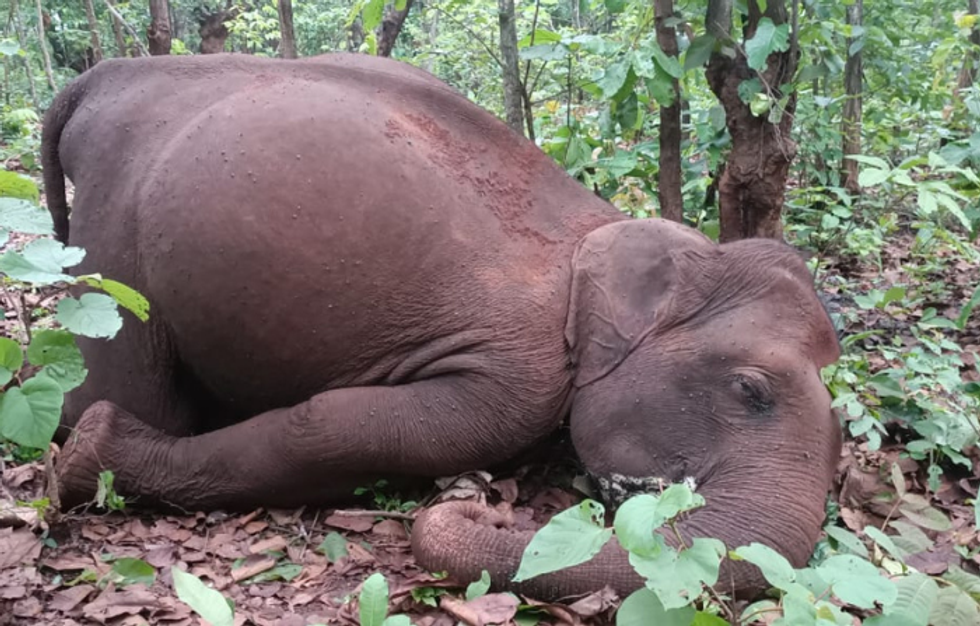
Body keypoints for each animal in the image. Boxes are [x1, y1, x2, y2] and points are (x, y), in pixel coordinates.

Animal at [42, 52, 842, 601]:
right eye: (750, 390)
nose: (488, 508)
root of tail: (100, 79)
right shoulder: (521, 368)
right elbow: (350, 429)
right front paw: (94, 454)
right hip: (116, 238)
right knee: (132, 390)